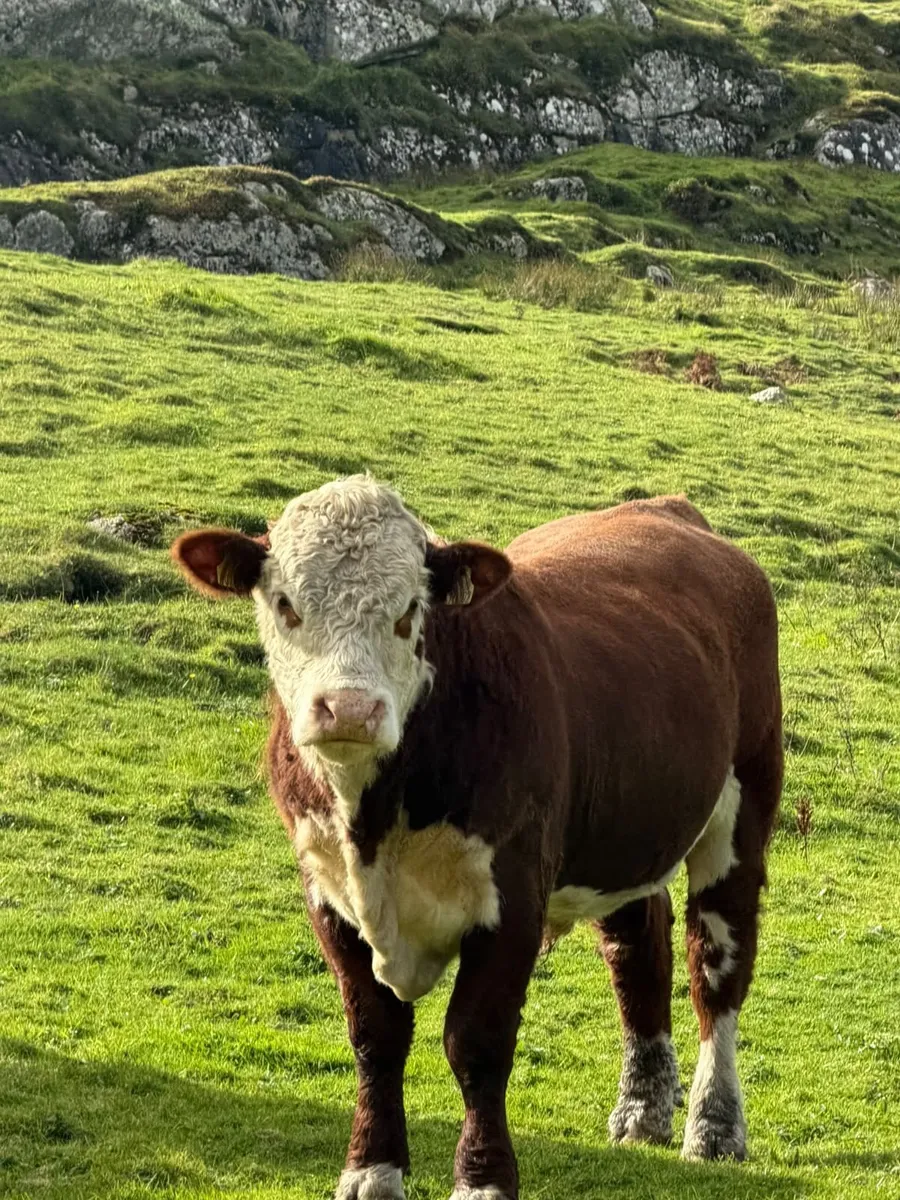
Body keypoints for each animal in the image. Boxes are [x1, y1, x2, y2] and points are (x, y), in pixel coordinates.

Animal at [172, 475, 782, 1200]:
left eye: (411, 610)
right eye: (286, 604)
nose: (348, 709)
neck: (372, 823)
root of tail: (669, 509)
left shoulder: (512, 896)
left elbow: (476, 1042)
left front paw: (483, 1179)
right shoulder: (326, 892)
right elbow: (375, 1034)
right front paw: (371, 1168)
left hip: (744, 806)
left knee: (716, 963)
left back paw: (714, 1127)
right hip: (626, 828)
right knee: (637, 951)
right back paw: (642, 1111)